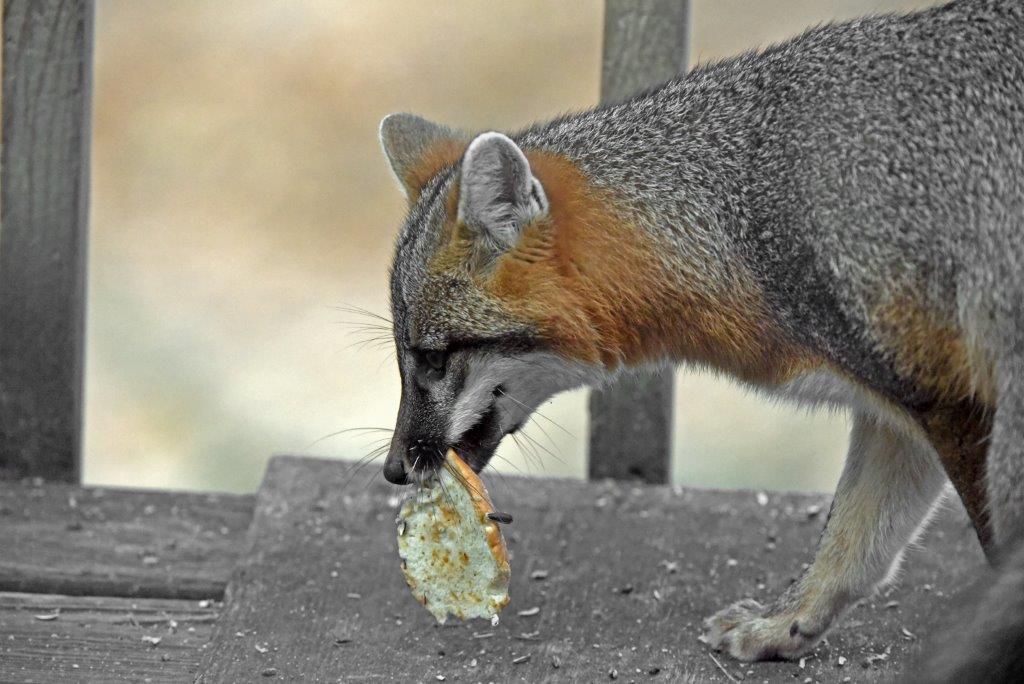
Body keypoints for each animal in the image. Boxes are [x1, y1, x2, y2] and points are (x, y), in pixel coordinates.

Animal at [376, 0, 1024, 664]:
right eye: (405, 356)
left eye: (433, 358)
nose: (394, 470)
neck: (747, 211)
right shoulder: (900, 406)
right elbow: (851, 541)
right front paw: (782, 624)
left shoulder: (951, 401)